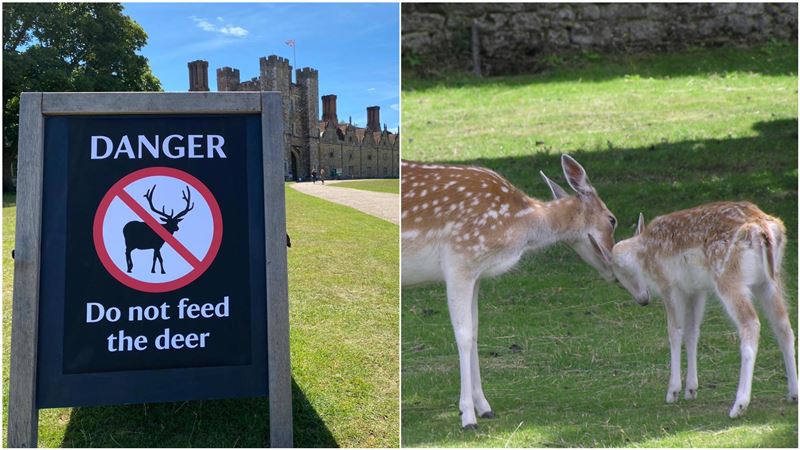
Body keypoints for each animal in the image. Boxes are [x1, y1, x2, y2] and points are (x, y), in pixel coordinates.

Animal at [401, 155, 617, 429]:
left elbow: (475, 332)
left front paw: (485, 408)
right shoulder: (459, 261)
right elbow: (463, 335)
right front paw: (467, 417)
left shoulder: (476, 274)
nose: (614, 268)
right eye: (612, 219)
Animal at [588, 202, 797, 418]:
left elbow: (674, 331)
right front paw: (691, 389)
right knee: (784, 326)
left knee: (751, 324)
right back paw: (793, 393)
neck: (644, 254)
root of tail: (764, 229)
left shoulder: (669, 285)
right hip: (770, 280)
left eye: (618, 279)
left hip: (729, 278)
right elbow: (692, 332)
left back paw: (739, 405)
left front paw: (672, 391)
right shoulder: (695, 290)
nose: (642, 300)